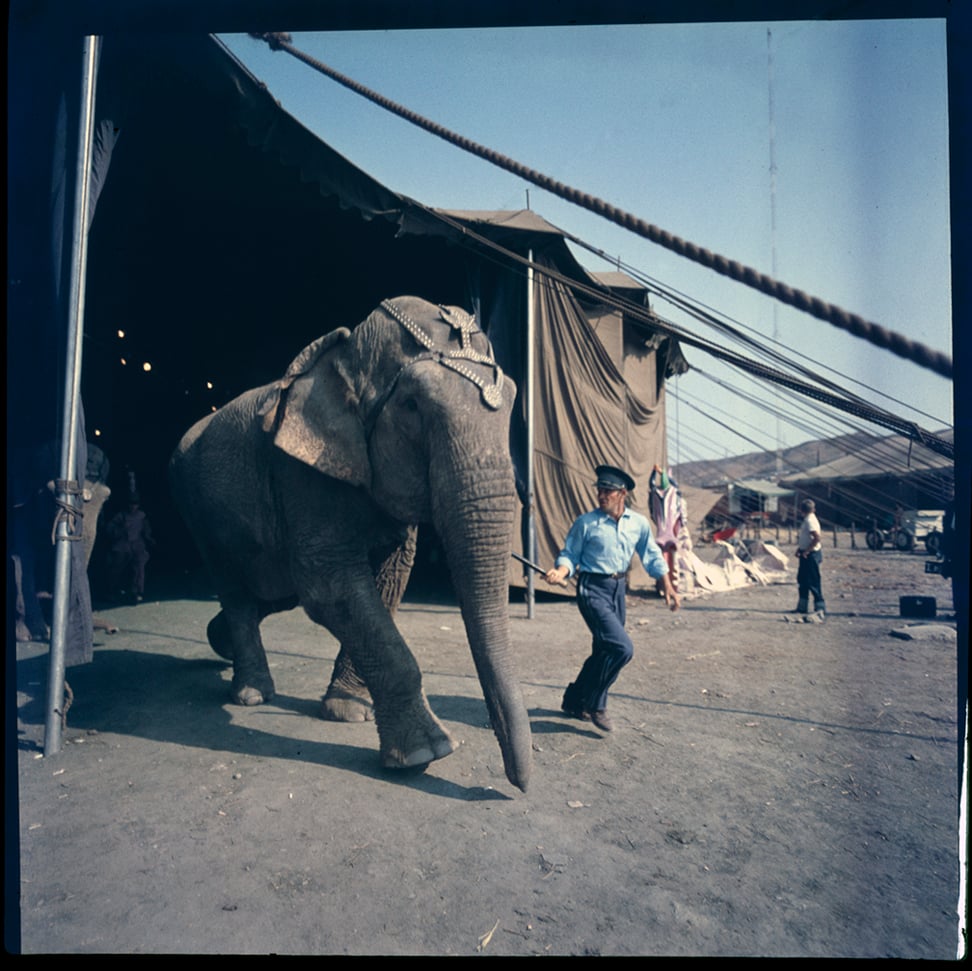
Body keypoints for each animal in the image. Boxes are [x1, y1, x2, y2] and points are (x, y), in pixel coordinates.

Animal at [168, 294, 532, 788]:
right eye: (412, 406)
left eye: (512, 400)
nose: (519, 785)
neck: (345, 355)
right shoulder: (300, 471)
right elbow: (329, 587)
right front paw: (425, 753)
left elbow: (390, 576)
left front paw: (348, 711)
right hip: (196, 506)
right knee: (237, 590)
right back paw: (252, 695)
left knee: (270, 594)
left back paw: (223, 647)